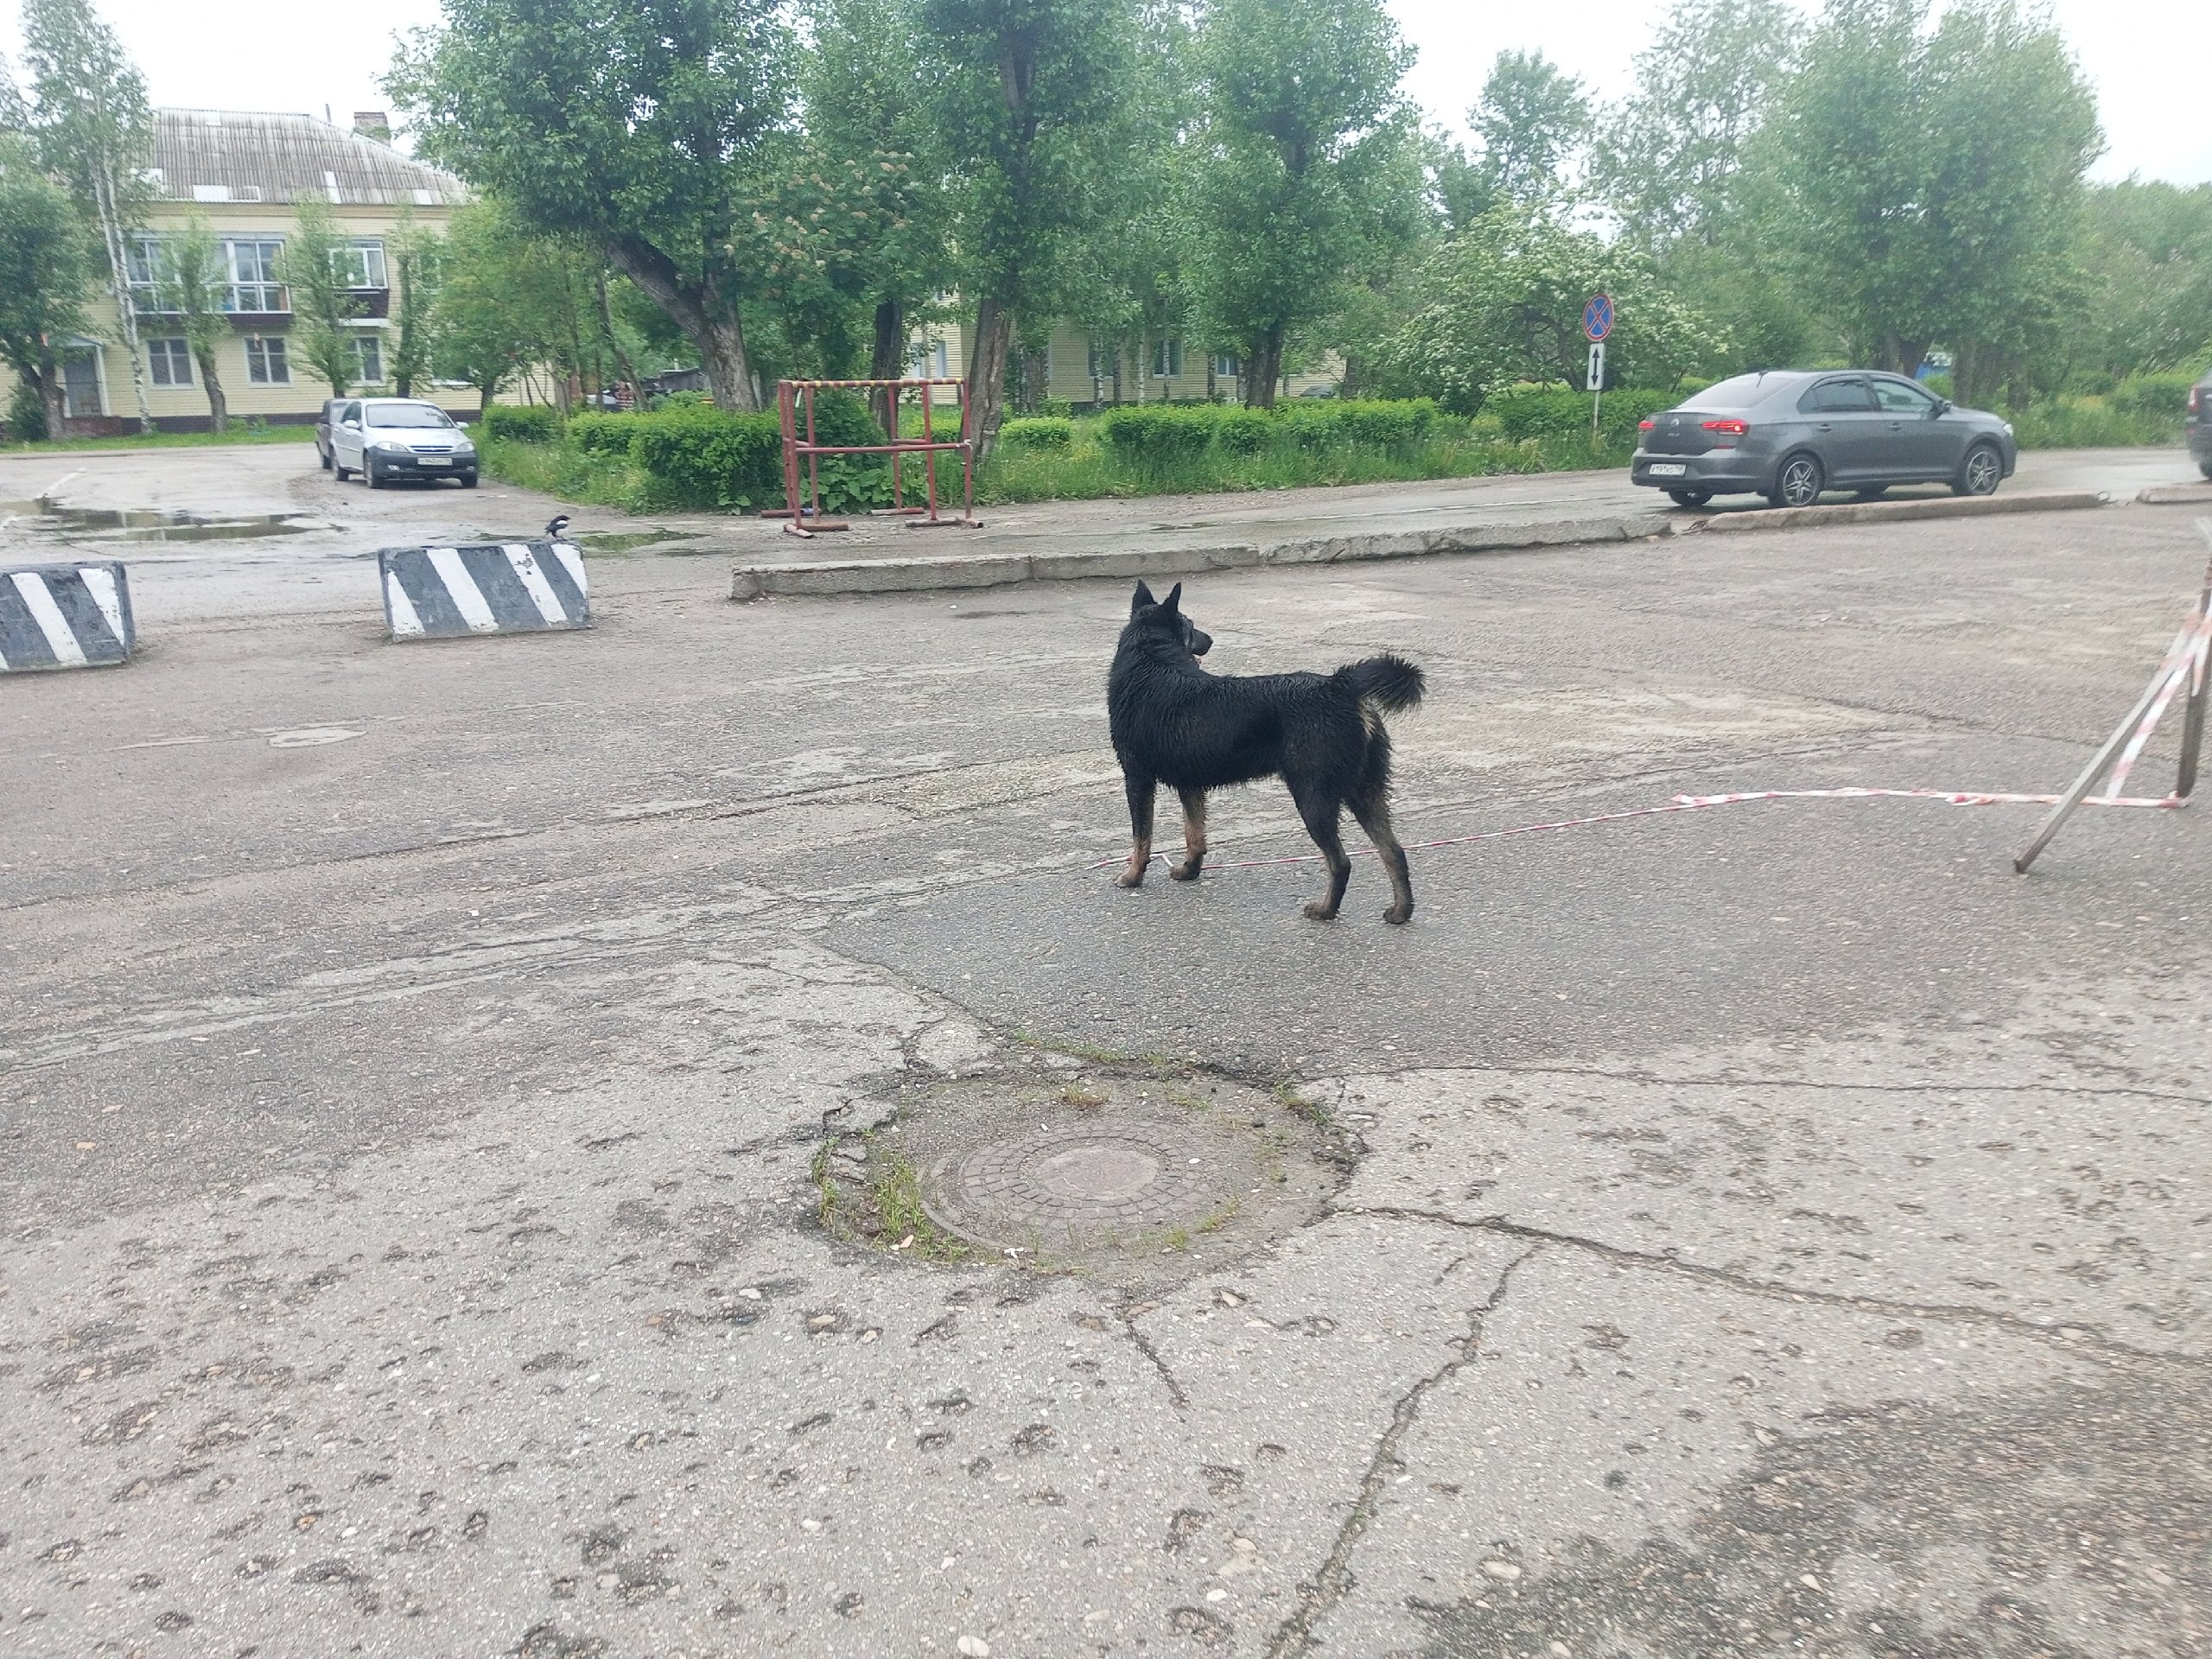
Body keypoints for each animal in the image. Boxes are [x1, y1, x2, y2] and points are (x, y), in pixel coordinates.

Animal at [1115, 579, 1424, 925]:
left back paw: (1326, 910)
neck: (1151, 659)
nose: (1210, 640)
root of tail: (1338, 686)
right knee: (1393, 852)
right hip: (1365, 790)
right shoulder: (1189, 783)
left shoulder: (1137, 778)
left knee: (1340, 862)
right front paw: (1189, 870)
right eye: (1191, 626)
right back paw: (1401, 911)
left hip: (1313, 797)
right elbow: (1194, 834)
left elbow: (1142, 838)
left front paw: (1132, 876)